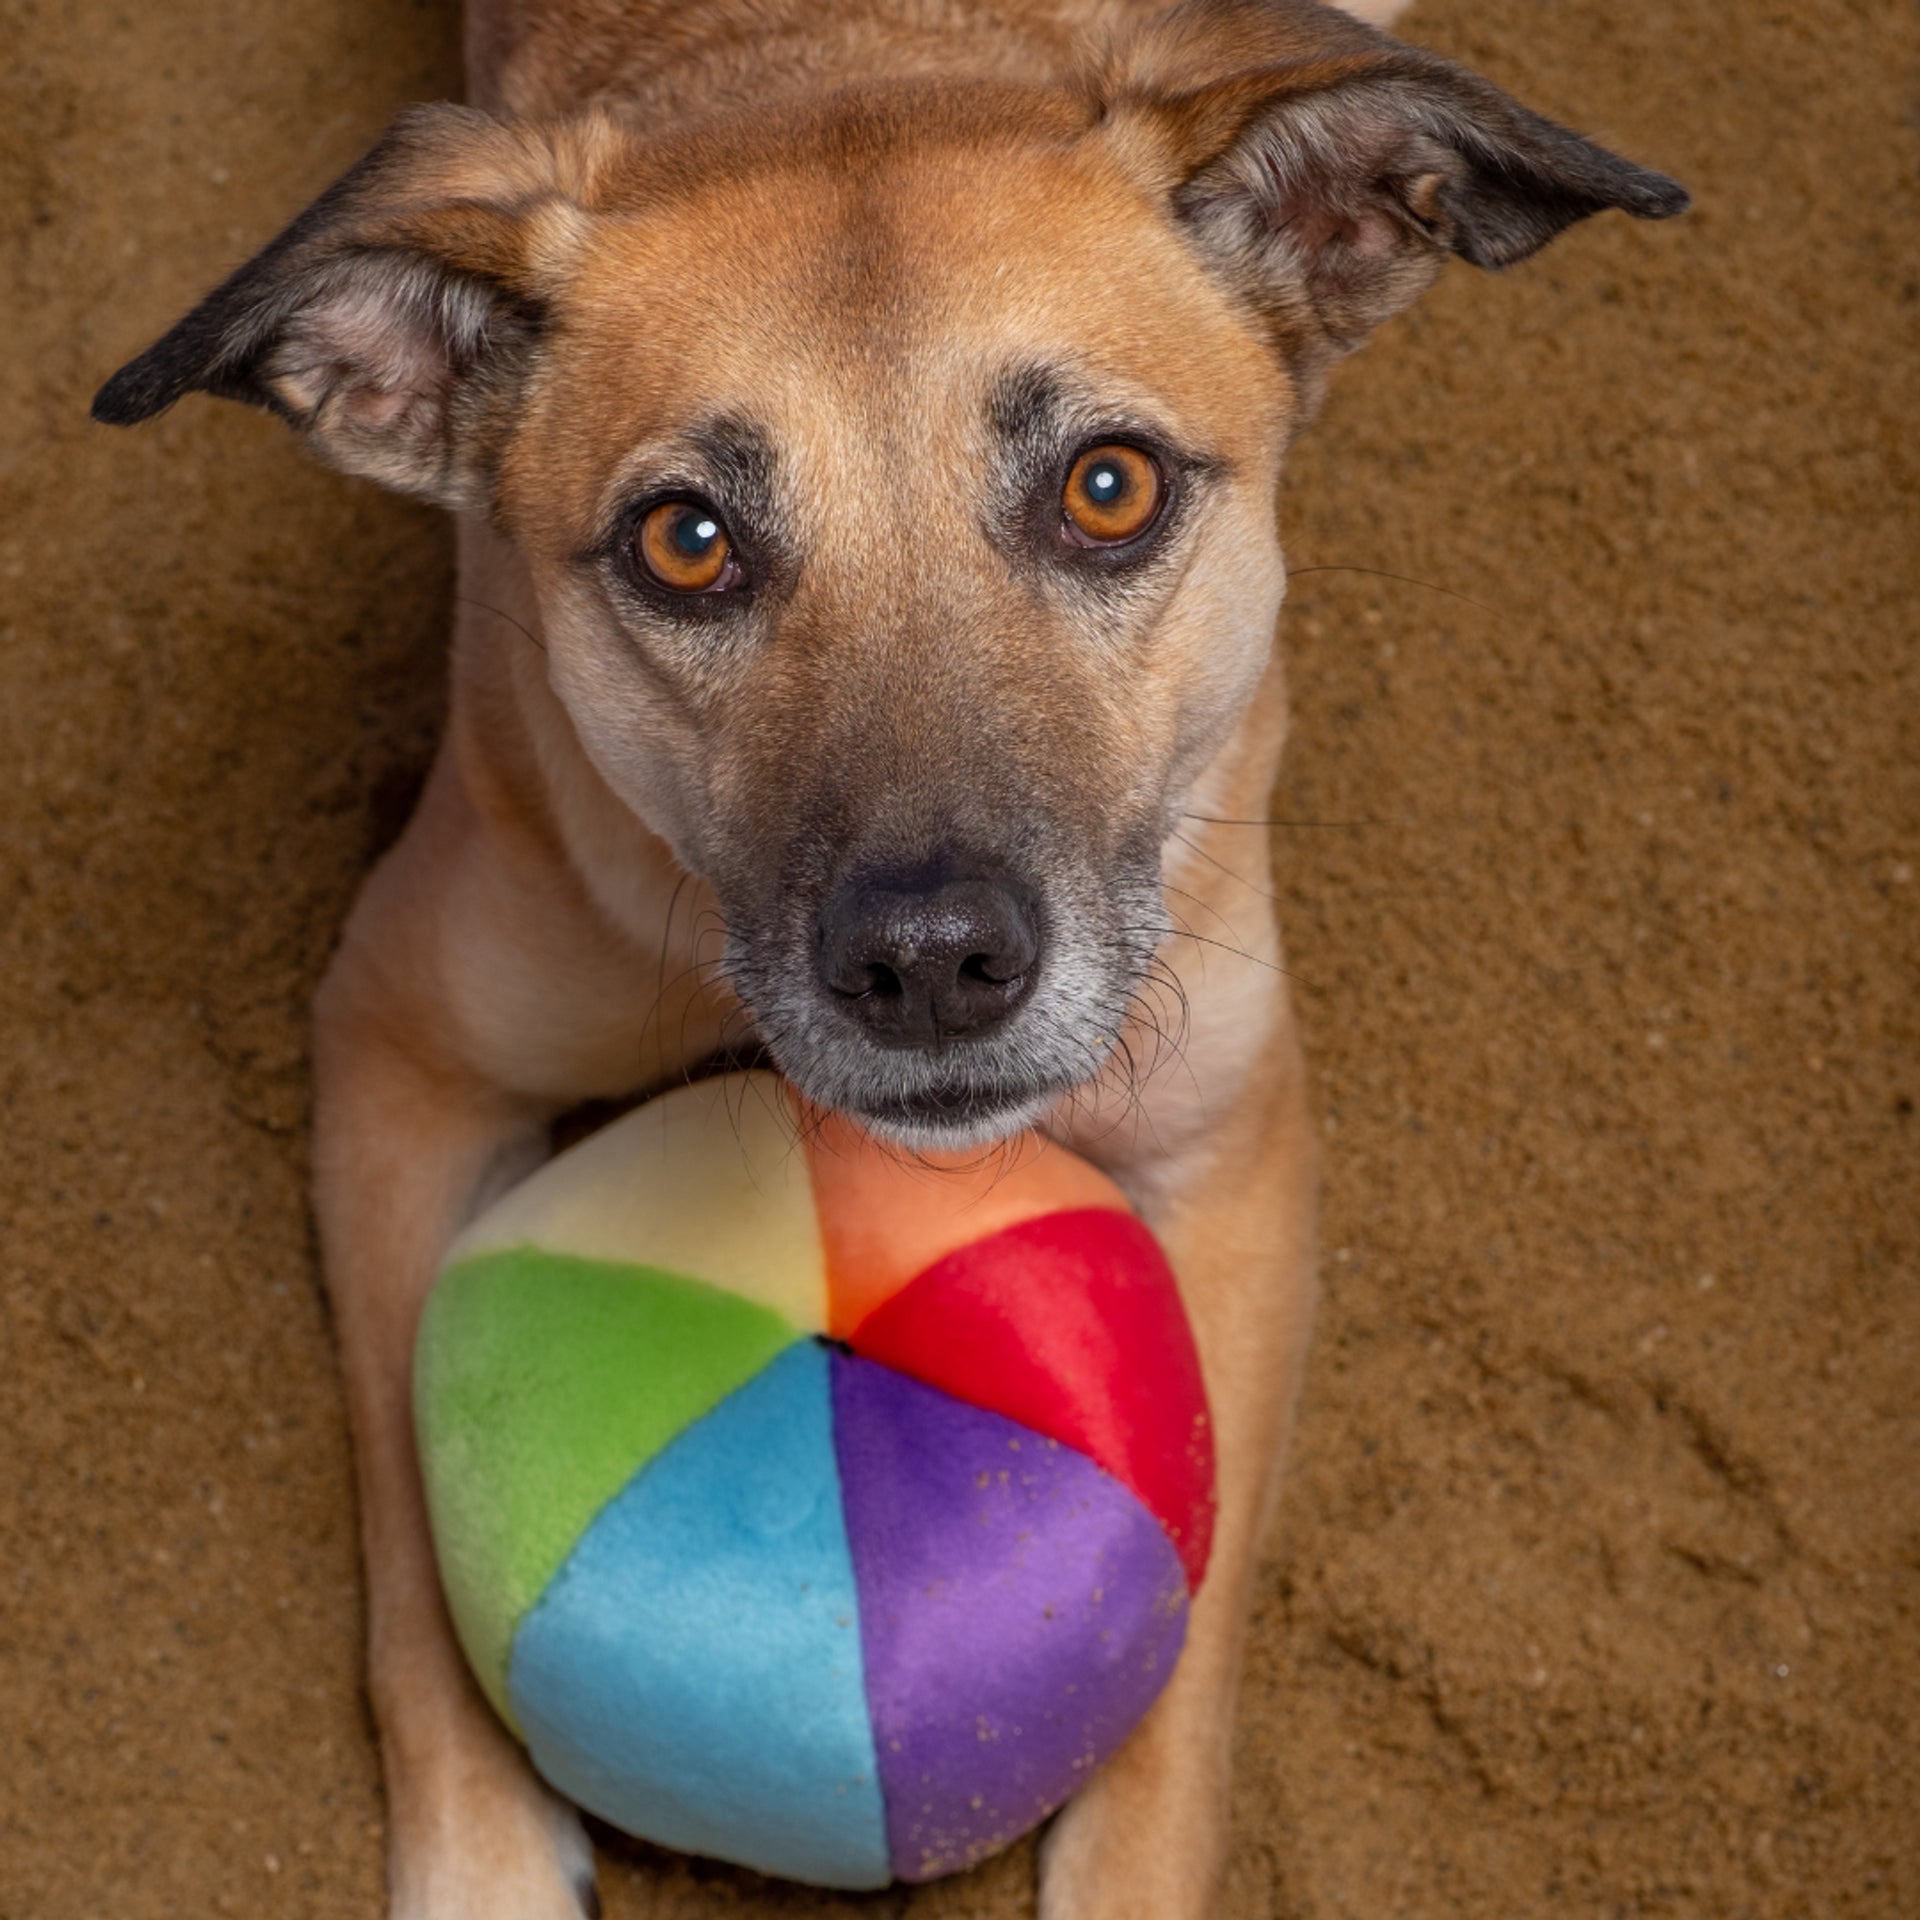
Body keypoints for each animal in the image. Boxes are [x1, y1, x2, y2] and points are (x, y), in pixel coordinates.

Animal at [93, 7, 1681, 1912]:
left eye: (1107, 487)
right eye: (686, 541)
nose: (929, 965)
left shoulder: (1234, 1153)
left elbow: (1184, 1664)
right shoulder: (399, 1053)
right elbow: (413, 1536)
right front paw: (482, 1862)